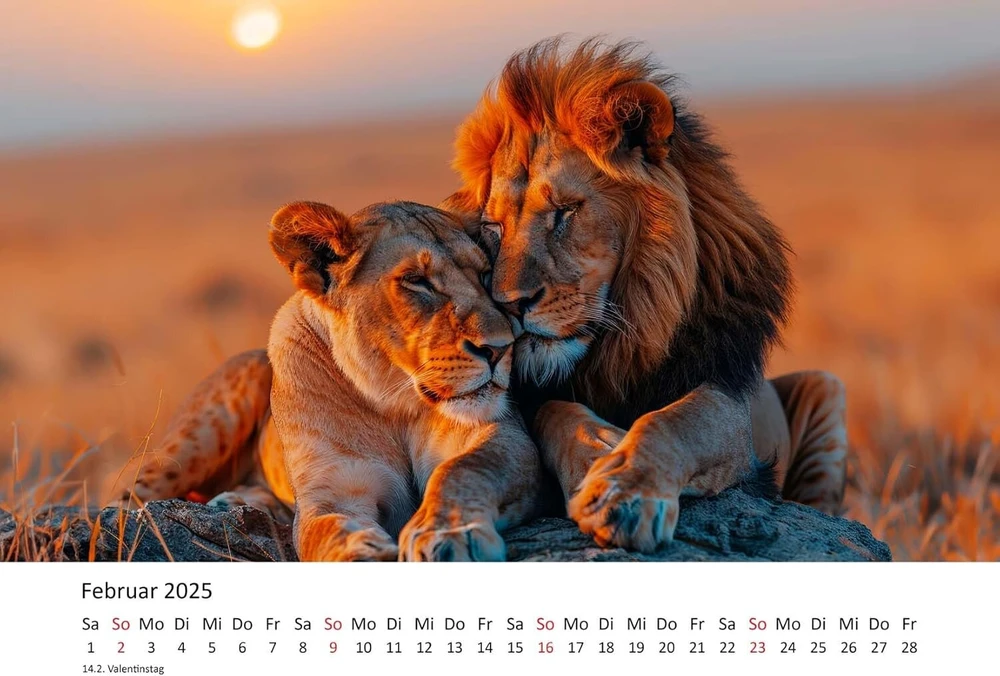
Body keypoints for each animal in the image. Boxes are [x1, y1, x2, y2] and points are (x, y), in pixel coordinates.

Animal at [118, 200, 543, 561]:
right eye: (416, 281)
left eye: (485, 273)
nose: (501, 347)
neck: (392, 403)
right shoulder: (332, 489)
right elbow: (326, 529)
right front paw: (361, 552)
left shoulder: (501, 436)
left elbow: (464, 469)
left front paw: (450, 532)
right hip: (204, 429)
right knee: (127, 500)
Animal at [441, 37, 848, 553]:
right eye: (493, 227)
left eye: (566, 211)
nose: (510, 303)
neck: (618, 345)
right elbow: (550, 411)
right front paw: (597, 451)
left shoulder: (728, 399)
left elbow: (676, 421)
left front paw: (624, 493)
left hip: (826, 387)